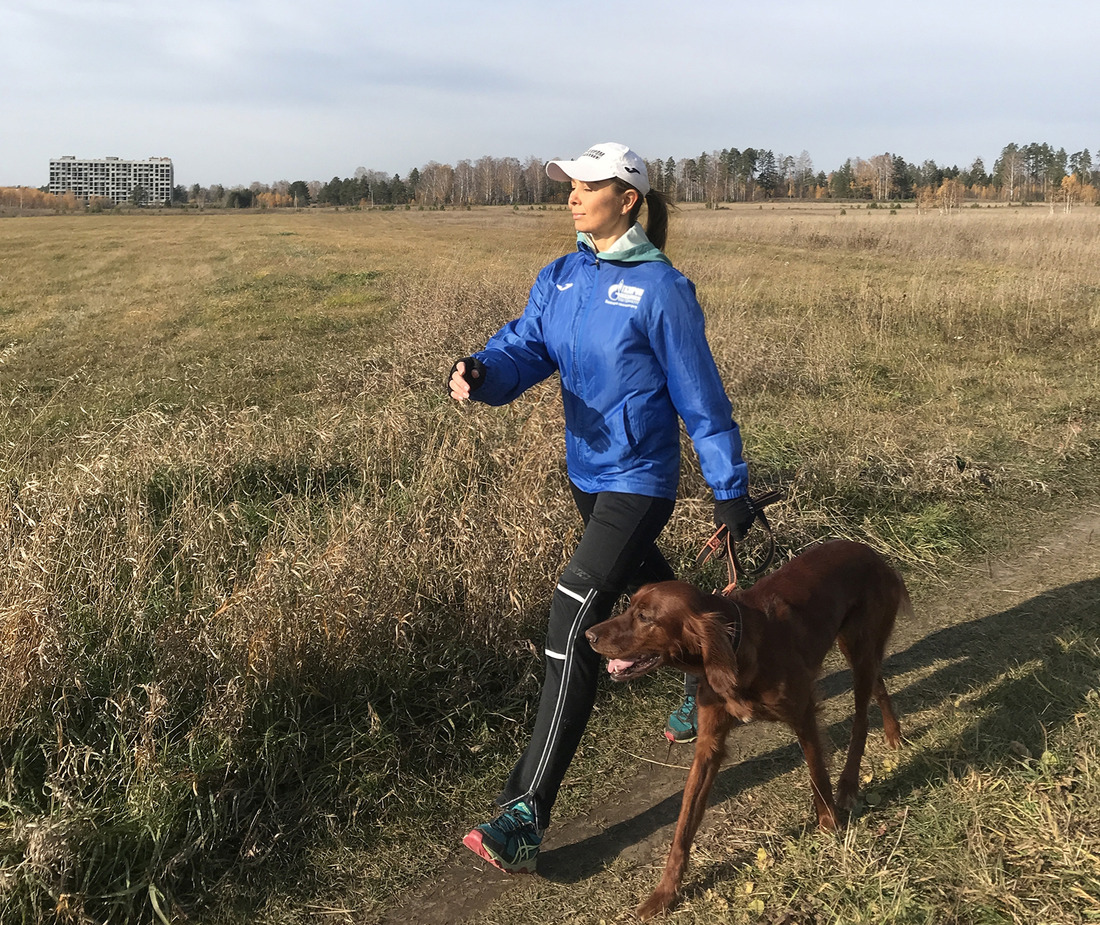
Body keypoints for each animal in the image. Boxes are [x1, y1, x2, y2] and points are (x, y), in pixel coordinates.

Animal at [589, 541, 906, 915]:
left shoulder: (804, 716)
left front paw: (830, 828)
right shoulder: (709, 745)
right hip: (858, 649)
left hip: (858, 647)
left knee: (860, 719)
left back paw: (849, 783)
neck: (733, 649)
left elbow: (817, 778)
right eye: (629, 606)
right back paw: (894, 734)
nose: (588, 634)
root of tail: (869, 550)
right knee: (879, 686)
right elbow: (683, 825)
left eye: (645, 618)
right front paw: (665, 893)